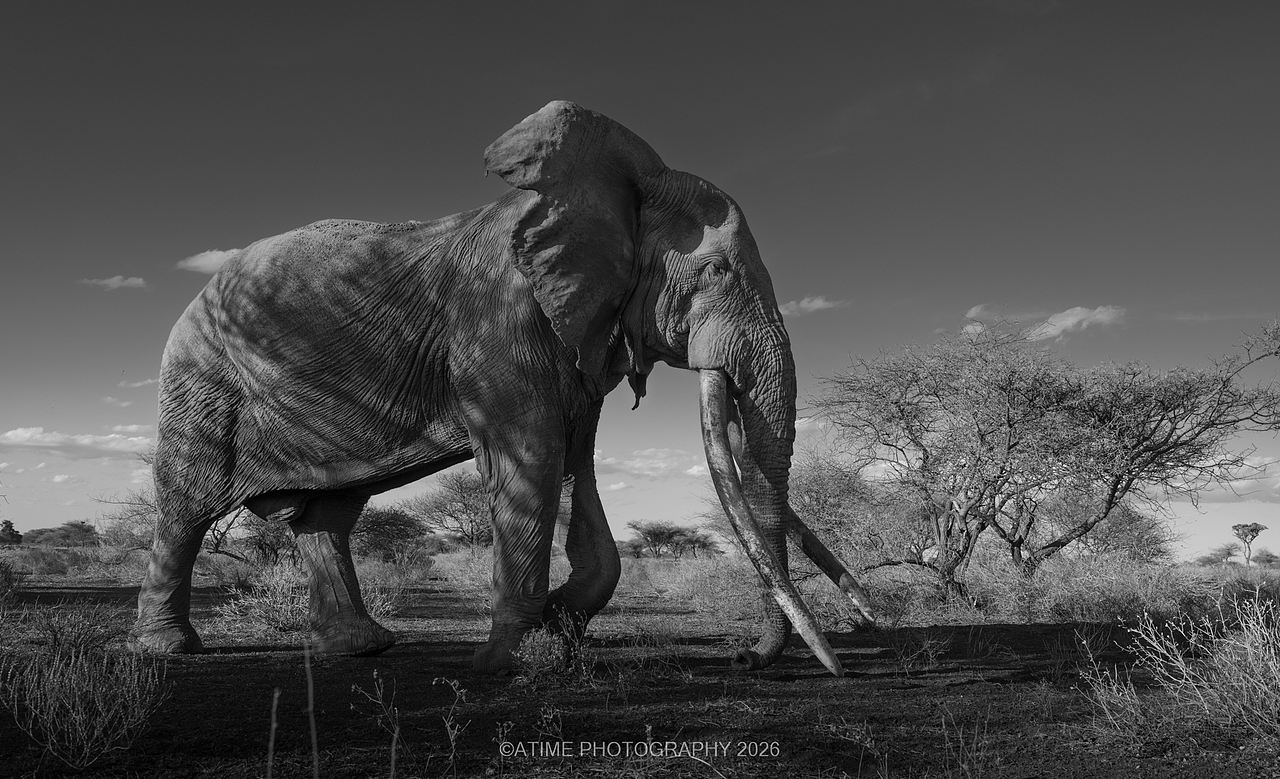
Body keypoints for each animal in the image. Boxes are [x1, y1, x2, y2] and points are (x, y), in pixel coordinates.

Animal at [131, 100, 876, 675]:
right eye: (716, 271)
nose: (745, 657)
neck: (600, 191)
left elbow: (577, 465)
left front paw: (556, 626)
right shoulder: (500, 317)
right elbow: (536, 460)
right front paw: (504, 662)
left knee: (328, 516)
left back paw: (361, 649)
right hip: (202, 380)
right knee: (188, 503)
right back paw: (168, 651)